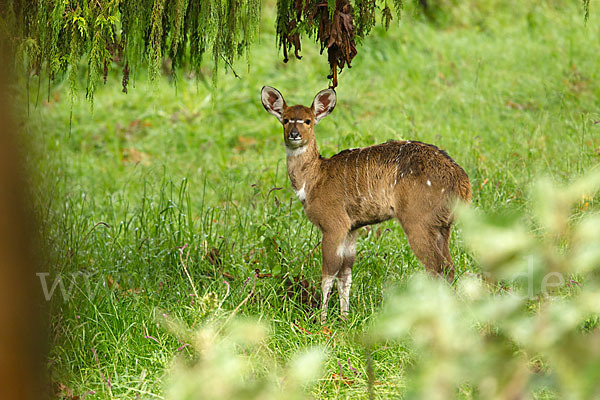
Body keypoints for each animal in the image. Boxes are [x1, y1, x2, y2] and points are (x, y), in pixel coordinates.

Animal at [260, 86, 472, 324]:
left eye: (308, 120)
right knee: (449, 267)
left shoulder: (334, 225)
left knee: (436, 268)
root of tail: (462, 182)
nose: (294, 134)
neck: (314, 180)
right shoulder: (352, 228)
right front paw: (344, 318)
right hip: (443, 226)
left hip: (418, 222)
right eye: (285, 119)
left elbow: (328, 274)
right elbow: (345, 275)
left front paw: (322, 321)